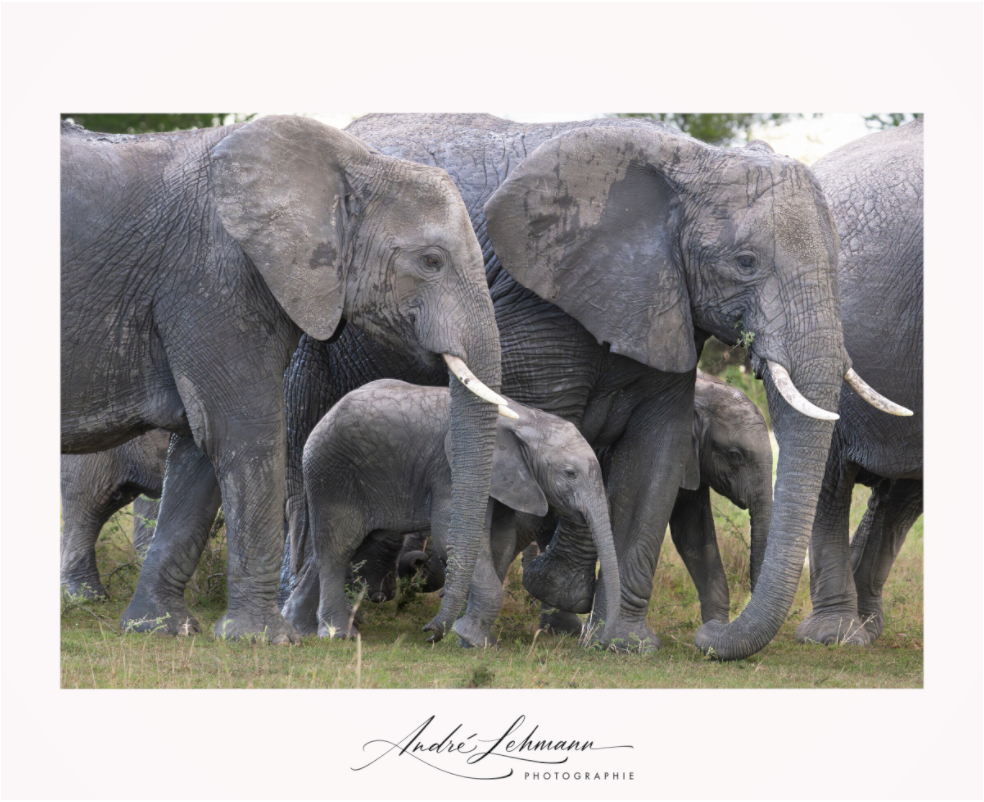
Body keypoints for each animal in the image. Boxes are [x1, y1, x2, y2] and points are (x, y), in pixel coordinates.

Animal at [282, 379, 621, 648]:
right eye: (570, 473)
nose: (428, 632)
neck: (528, 418)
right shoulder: (451, 471)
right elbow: (452, 539)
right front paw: (473, 639)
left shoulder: (508, 484)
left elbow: (501, 543)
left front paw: (470, 638)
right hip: (332, 473)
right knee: (338, 547)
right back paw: (339, 635)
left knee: (347, 545)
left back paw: (305, 628)